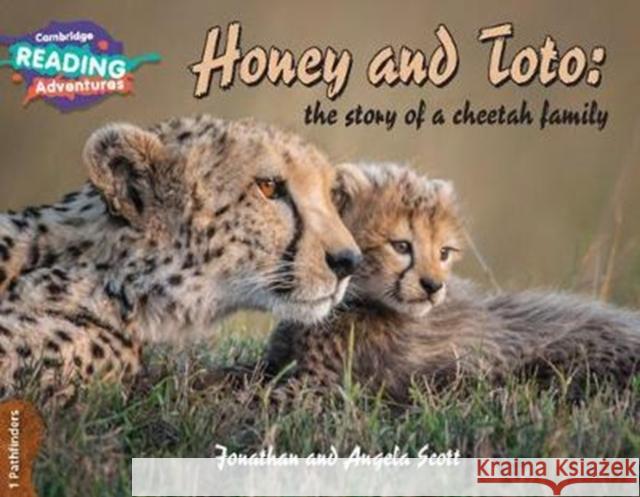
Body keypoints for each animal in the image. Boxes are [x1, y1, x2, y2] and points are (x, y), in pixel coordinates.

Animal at [261, 162, 640, 403]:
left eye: (444, 252)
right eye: (401, 246)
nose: (433, 286)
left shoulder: (321, 387)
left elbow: (259, 399)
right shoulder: (277, 363)